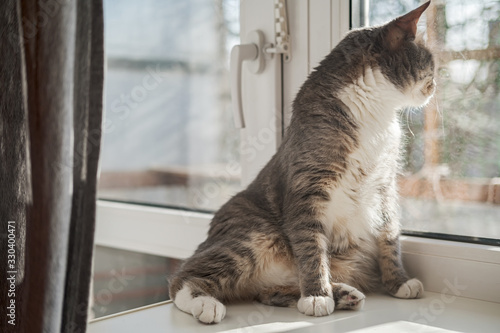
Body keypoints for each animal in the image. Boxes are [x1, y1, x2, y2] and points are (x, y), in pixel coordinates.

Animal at [168, 1, 434, 322]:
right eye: (431, 63)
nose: (435, 86)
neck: (376, 116)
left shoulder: (385, 185)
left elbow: (389, 236)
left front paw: (399, 282)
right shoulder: (308, 187)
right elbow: (311, 248)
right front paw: (317, 296)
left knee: (268, 291)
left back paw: (343, 294)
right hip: (255, 235)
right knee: (182, 277)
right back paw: (207, 303)